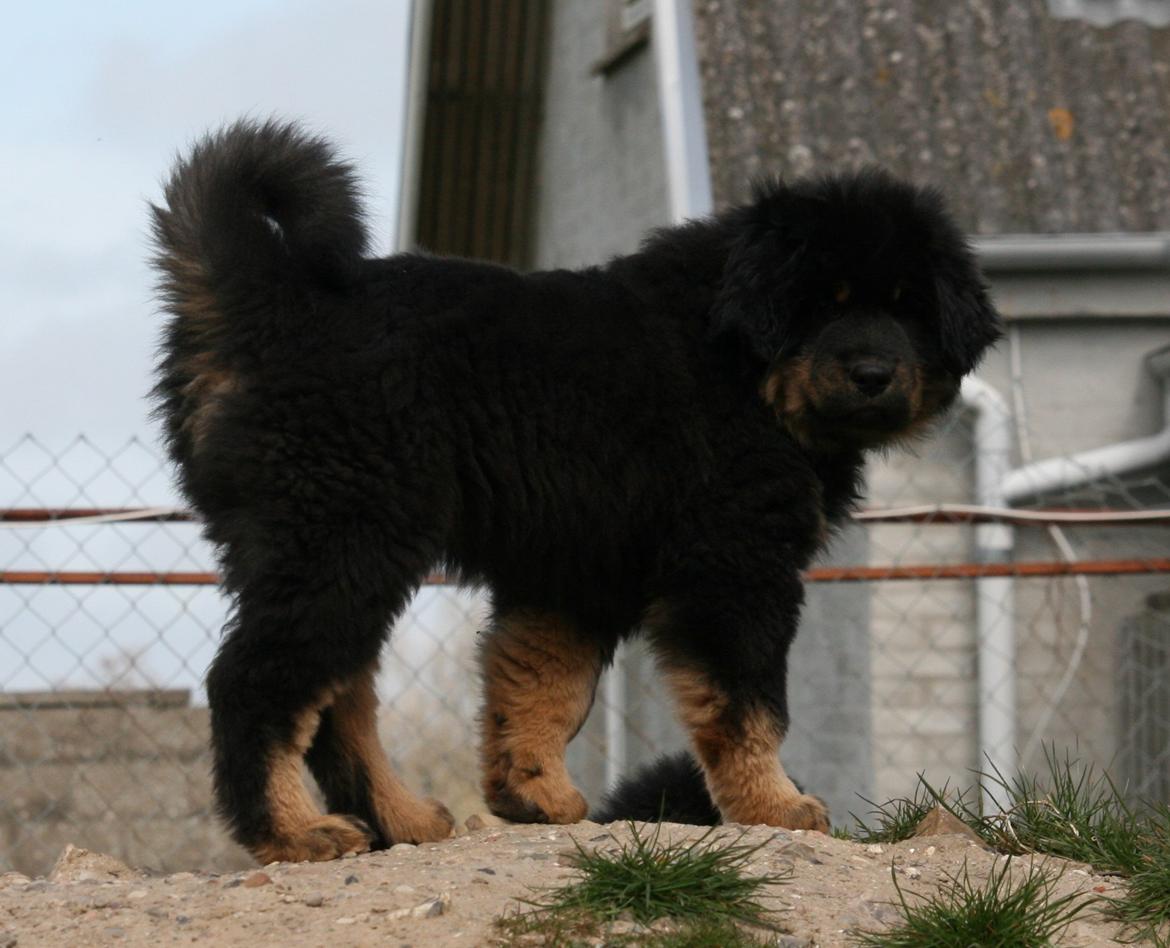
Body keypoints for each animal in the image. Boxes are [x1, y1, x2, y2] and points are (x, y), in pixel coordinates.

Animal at [150, 119, 1001, 866]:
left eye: (907, 307)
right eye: (825, 302)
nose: (873, 374)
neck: (741, 362)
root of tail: (270, 302)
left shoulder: (576, 570)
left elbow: (544, 686)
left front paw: (532, 795)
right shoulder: (735, 564)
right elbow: (748, 703)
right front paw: (776, 807)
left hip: (334, 545)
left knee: (340, 696)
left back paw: (401, 819)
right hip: (344, 535)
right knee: (256, 684)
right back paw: (293, 832)